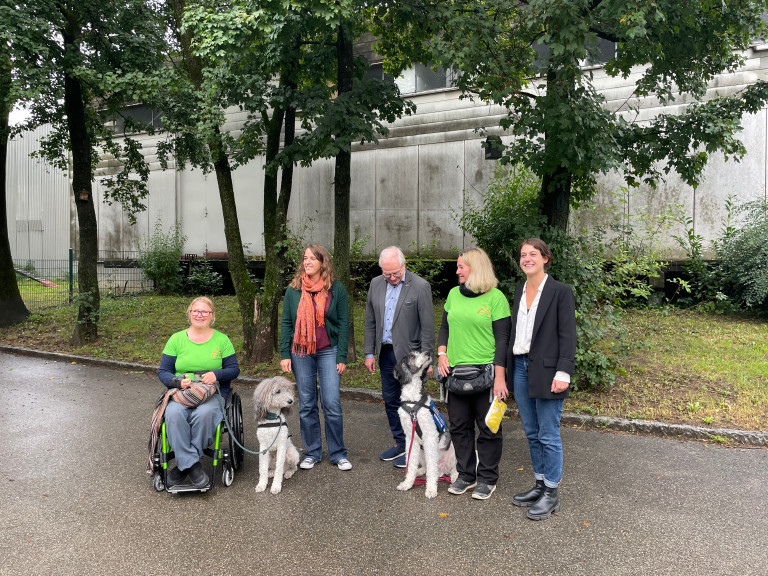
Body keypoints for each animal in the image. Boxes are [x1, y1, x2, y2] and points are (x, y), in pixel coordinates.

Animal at [396, 348, 456, 498]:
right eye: (412, 356)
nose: (428, 353)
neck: (413, 401)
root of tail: (443, 469)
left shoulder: (429, 436)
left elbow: (431, 469)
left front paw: (431, 489)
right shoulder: (410, 437)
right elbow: (410, 462)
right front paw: (408, 483)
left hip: (454, 449)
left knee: (454, 467)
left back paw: (455, 476)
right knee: (426, 466)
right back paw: (419, 472)